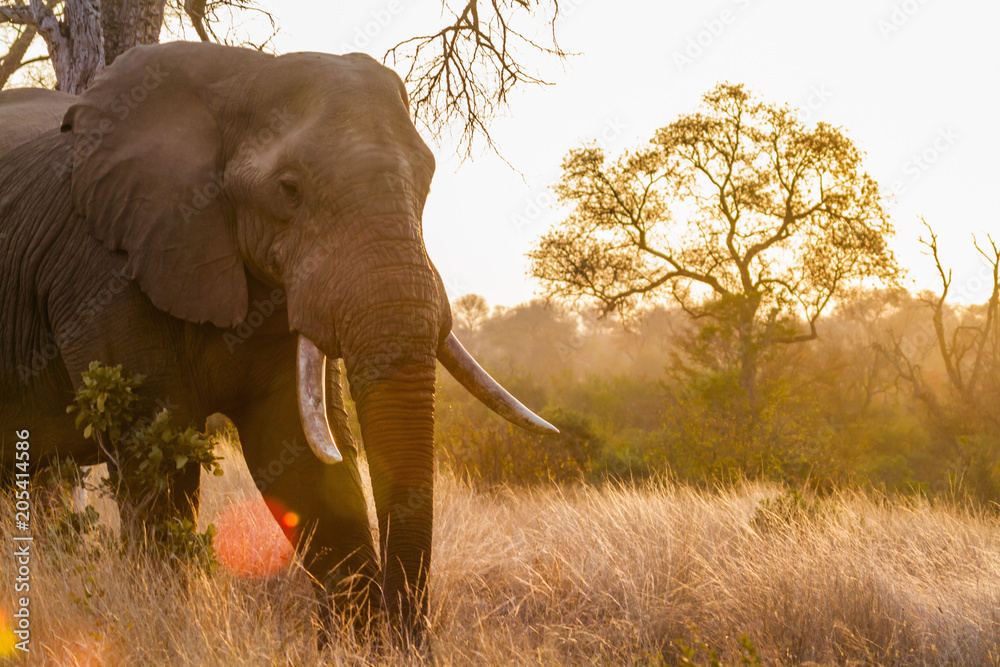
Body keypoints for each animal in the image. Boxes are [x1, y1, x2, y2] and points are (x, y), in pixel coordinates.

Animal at [0, 41, 555, 644]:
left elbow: (295, 448)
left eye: (427, 181)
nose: (412, 640)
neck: (234, 78)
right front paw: (166, 632)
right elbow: (156, 452)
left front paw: (357, 646)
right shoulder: (100, 269)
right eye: (289, 190)